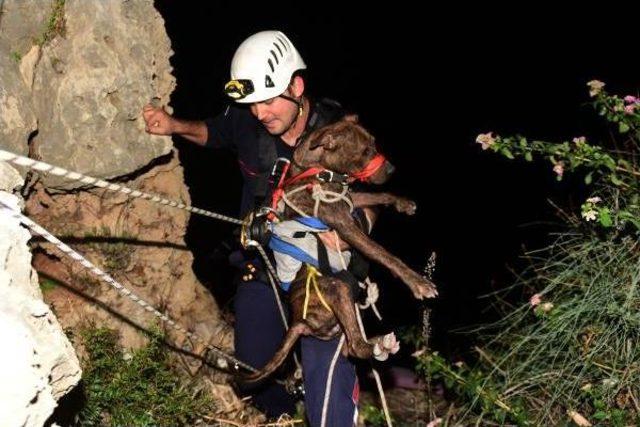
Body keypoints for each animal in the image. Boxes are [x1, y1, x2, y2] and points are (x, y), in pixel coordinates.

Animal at [242, 118, 438, 382]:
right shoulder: (346, 227)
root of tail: (299, 322)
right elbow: (385, 255)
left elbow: (376, 195)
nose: (391, 170)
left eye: (374, 143)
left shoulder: (352, 200)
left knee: (349, 349)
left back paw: (381, 343)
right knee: (356, 346)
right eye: (364, 151)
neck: (317, 170)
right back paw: (377, 346)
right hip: (338, 288)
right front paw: (418, 283)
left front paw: (401, 202)